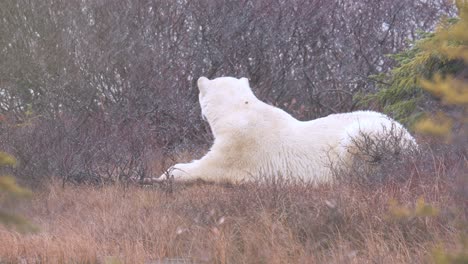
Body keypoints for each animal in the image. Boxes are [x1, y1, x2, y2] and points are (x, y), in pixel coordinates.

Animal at [161, 76, 416, 184]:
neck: (240, 113)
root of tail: (412, 145)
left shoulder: (239, 145)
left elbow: (209, 166)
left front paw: (169, 172)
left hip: (371, 136)